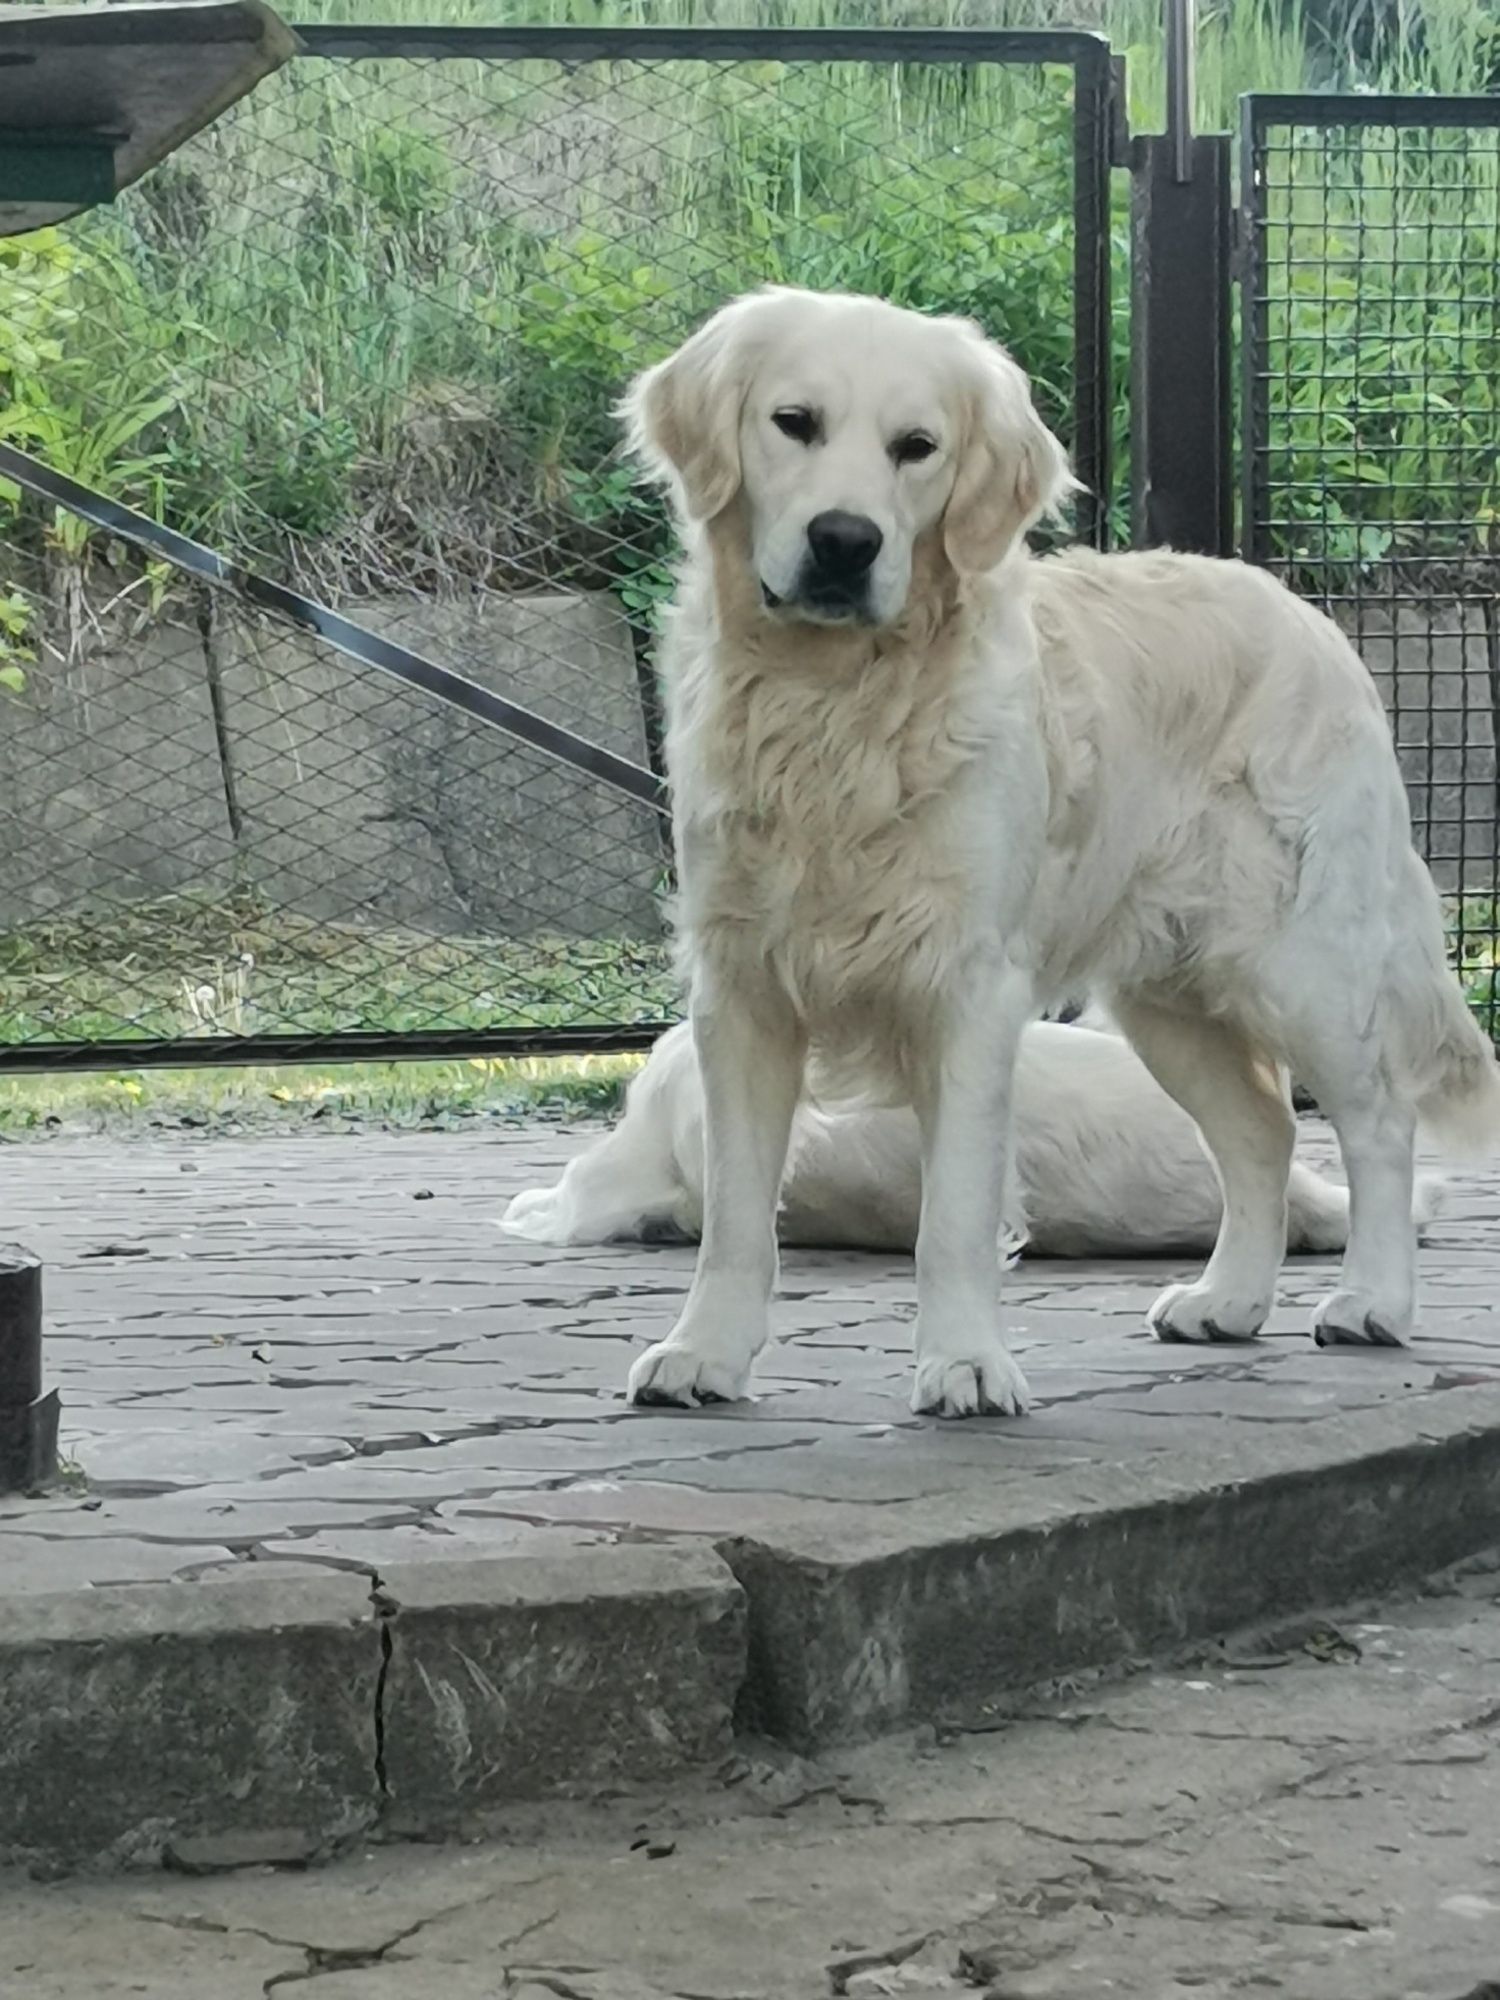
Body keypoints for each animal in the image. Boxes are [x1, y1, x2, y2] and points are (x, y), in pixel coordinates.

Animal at [612, 286, 1500, 1424]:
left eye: (917, 447)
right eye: (793, 422)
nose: (845, 540)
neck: (837, 706)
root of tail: (1305, 612)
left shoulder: (970, 984)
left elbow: (953, 1210)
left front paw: (964, 1363)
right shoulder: (742, 987)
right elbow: (733, 1214)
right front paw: (706, 1354)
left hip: (1305, 961)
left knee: (1379, 1119)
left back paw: (1372, 1301)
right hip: (1167, 999)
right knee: (1262, 1132)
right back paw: (1227, 1300)